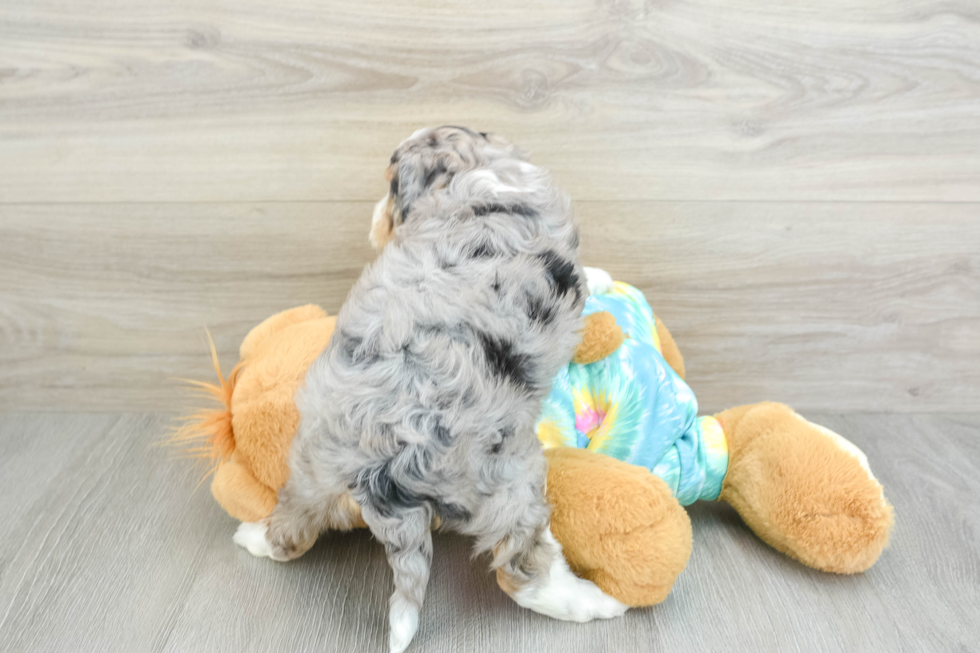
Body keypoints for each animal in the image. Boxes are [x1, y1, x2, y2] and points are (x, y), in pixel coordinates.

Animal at [234, 125, 624, 648]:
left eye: (390, 186)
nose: (376, 218)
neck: (478, 168)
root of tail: (378, 465)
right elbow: (586, 275)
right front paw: (603, 277)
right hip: (508, 481)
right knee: (523, 571)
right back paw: (596, 602)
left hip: (311, 467)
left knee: (292, 526)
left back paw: (254, 538)